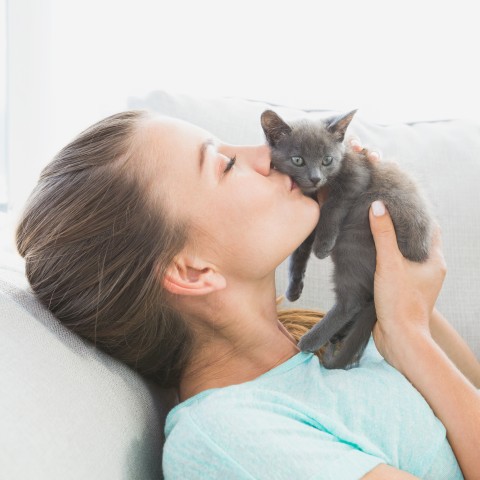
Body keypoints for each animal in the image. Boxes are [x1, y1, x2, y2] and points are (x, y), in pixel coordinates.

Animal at [260, 110, 434, 370]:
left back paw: (311, 340)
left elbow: (333, 206)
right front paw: (294, 288)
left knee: (351, 301)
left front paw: (322, 247)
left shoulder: (357, 176)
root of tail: (417, 253)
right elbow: (300, 250)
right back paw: (337, 335)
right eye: (298, 160)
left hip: (357, 230)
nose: (315, 178)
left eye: (327, 160)